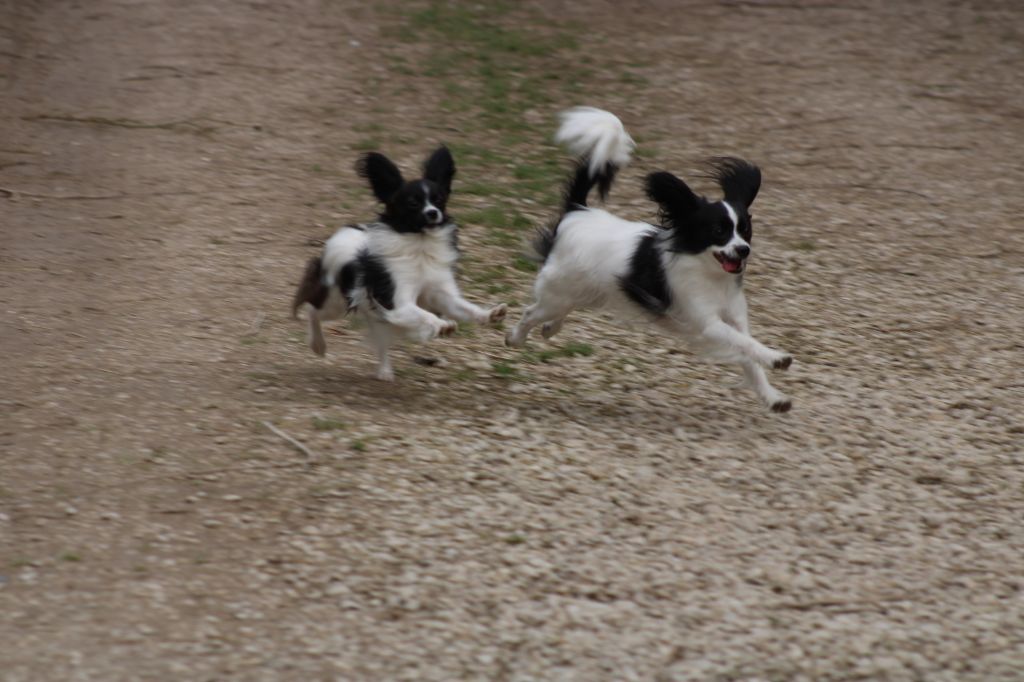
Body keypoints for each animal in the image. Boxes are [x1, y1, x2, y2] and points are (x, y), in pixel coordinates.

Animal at [292, 146, 507, 381]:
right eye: (413, 203)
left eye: (439, 200)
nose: (433, 213)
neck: (420, 244)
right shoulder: (398, 303)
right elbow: (426, 316)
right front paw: (442, 326)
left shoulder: (440, 294)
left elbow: (465, 308)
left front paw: (490, 314)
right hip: (335, 303)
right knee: (313, 311)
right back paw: (318, 345)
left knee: (380, 342)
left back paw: (384, 371)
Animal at [506, 107, 792, 412]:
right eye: (718, 231)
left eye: (745, 231)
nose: (743, 250)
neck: (711, 273)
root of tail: (577, 212)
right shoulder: (708, 324)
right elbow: (745, 346)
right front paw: (776, 358)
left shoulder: (734, 319)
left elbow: (748, 356)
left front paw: (772, 397)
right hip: (562, 290)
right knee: (531, 312)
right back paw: (515, 337)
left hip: (585, 292)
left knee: (555, 312)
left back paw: (549, 328)